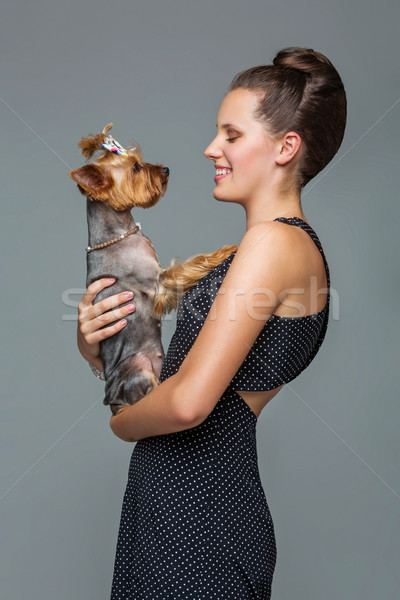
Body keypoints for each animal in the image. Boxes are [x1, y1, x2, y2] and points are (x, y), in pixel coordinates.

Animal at [69, 125, 238, 418]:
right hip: (138, 368)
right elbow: (189, 265)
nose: (166, 169)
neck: (119, 232)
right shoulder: (158, 281)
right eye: (136, 167)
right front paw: (223, 252)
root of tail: (113, 399)